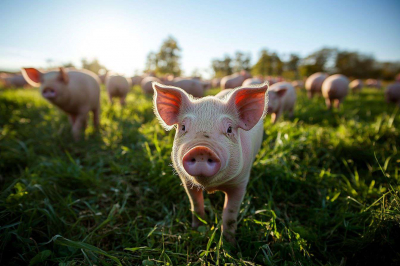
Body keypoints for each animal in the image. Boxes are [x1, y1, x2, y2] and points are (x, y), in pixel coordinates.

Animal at [152, 82, 268, 242]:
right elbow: (195, 204)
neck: (211, 186)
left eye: (229, 129)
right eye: (183, 127)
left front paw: (229, 242)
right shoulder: (187, 181)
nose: (201, 149)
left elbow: (230, 213)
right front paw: (197, 229)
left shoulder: (240, 182)